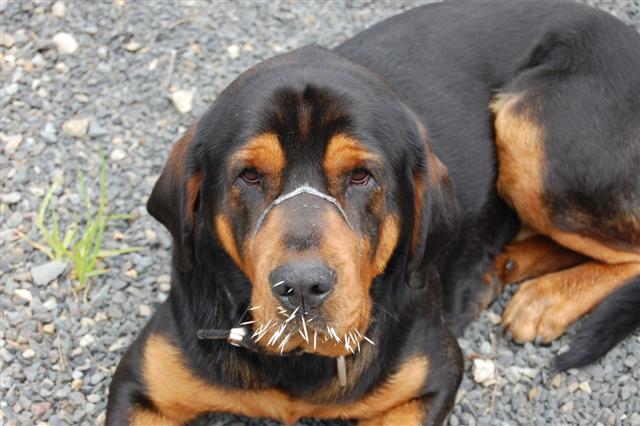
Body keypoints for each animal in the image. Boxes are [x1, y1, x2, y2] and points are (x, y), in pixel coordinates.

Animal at [107, 1, 636, 424]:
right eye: (249, 176)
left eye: (362, 176)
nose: (302, 287)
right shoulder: (141, 383)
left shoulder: (432, 377)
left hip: (529, 127)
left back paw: (547, 299)